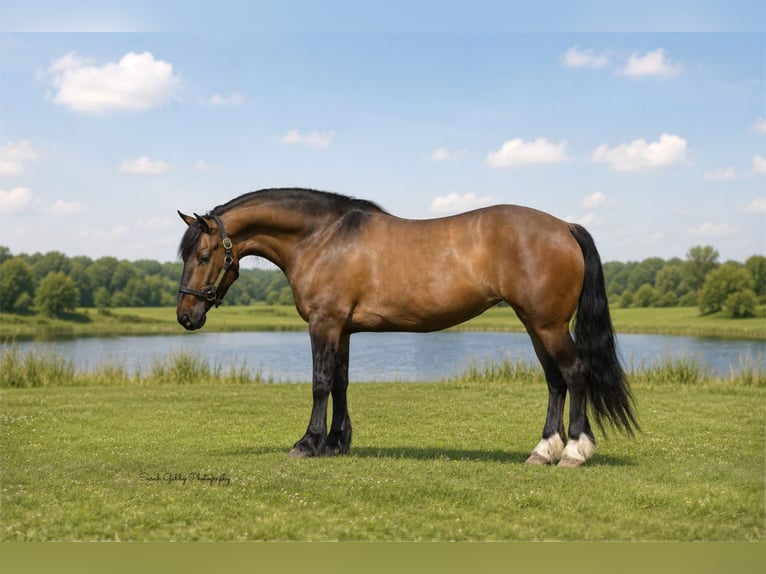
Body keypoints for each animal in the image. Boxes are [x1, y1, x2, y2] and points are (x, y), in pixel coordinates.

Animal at [176, 187, 637, 467]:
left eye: (202, 256)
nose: (185, 316)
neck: (323, 238)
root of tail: (564, 227)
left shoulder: (324, 324)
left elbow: (320, 383)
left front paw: (308, 443)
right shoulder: (342, 329)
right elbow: (341, 382)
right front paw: (337, 443)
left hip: (548, 324)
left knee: (574, 373)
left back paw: (574, 450)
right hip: (536, 324)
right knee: (555, 380)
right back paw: (543, 450)